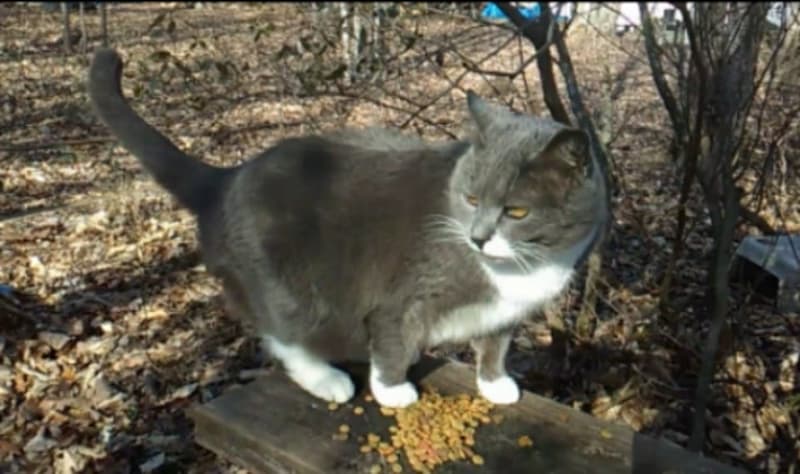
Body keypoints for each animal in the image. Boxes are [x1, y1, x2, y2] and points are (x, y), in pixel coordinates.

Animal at [87, 48, 608, 408]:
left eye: (516, 212)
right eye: (472, 199)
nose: (478, 237)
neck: (524, 268)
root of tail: (226, 178)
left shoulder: (506, 313)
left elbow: (496, 344)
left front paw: (496, 384)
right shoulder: (408, 292)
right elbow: (394, 334)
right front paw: (393, 390)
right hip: (290, 284)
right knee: (283, 333)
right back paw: (328, 379)